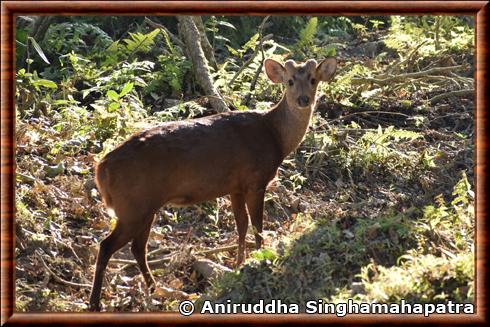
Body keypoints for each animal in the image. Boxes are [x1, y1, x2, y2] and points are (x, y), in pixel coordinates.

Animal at [89, 57, 336, 312]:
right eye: (289, 81)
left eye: (313, 79)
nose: (303, 100)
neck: (275, 137)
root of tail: (101, 169)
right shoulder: (255, 179)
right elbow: (257, 226)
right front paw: (260, 258)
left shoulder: (235, 186)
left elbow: (241, 225)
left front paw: (239, 263)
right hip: (133, 206)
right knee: (107, 246)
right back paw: (96, 302)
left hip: (144, 208)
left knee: (138, 247)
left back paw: (153, 289)